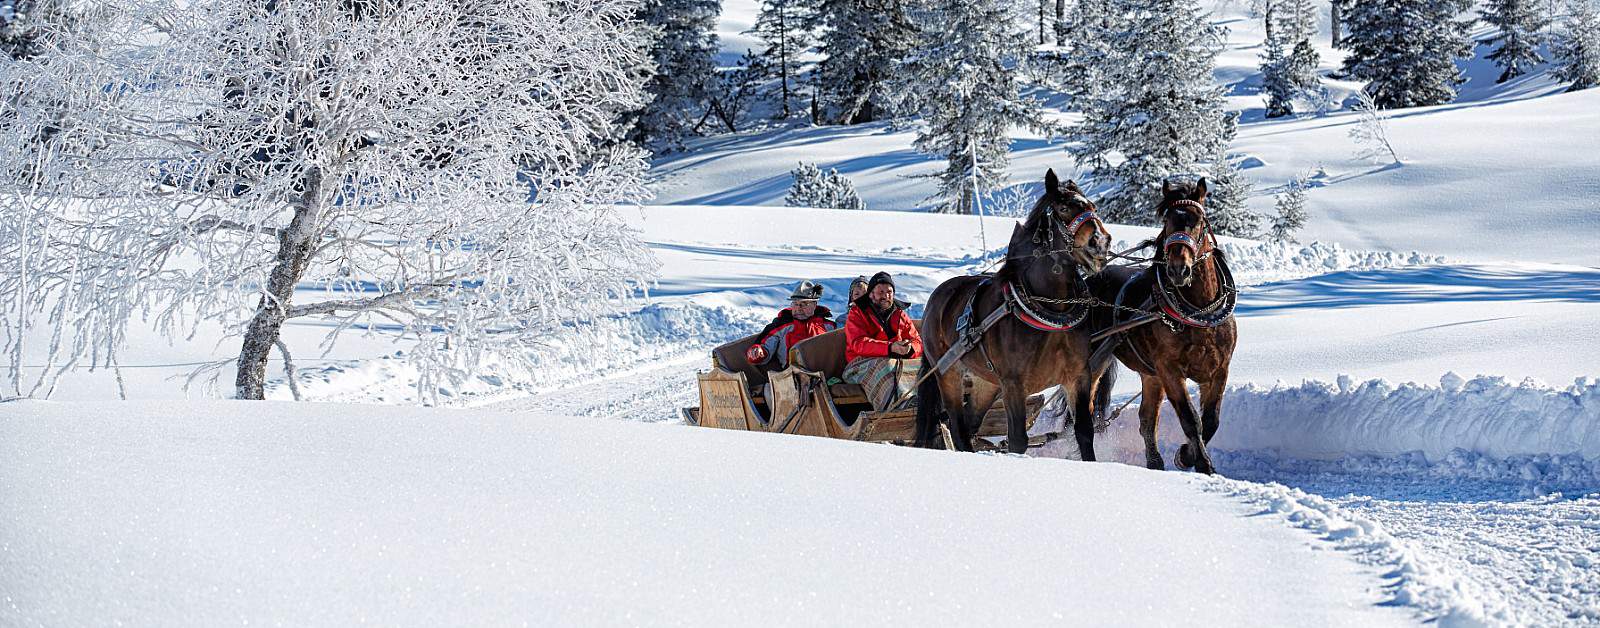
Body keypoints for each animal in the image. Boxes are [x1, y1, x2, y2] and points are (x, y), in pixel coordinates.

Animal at [915, 170, 1113, 454]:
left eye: (1093, 207)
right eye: (1063, 208)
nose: (1100, 242)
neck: (1050, 310)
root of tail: (936, 299)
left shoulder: (1078, 377)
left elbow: (1084, 432)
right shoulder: (1014, 384)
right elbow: (1018, 440)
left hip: (986, 384)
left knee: (969, 423)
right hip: (948, 374)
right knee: (957, 425)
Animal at [1088, 179, 1235, 474]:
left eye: (1199, 220)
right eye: (1167, 221)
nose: (1179, 269)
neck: (1200, 313)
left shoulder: (1219, 370)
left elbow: (1211, 420)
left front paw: (1186, 455)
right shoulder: (1170, 370)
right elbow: (1191, 419)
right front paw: (1202, 463)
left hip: (1150, 375)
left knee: (1146, 419)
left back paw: (1155, 463)